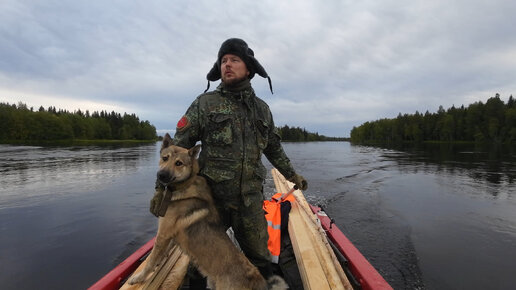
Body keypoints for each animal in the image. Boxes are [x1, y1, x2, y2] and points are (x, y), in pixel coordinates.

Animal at [127, 134, 288, 290]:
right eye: (165, 158)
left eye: (179, 163)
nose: (161, 175)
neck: (185, 185)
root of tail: (259, 283)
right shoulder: (169, 235)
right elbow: (160, 254)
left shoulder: (163, 233)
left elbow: (151, 260)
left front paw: (138, 278)